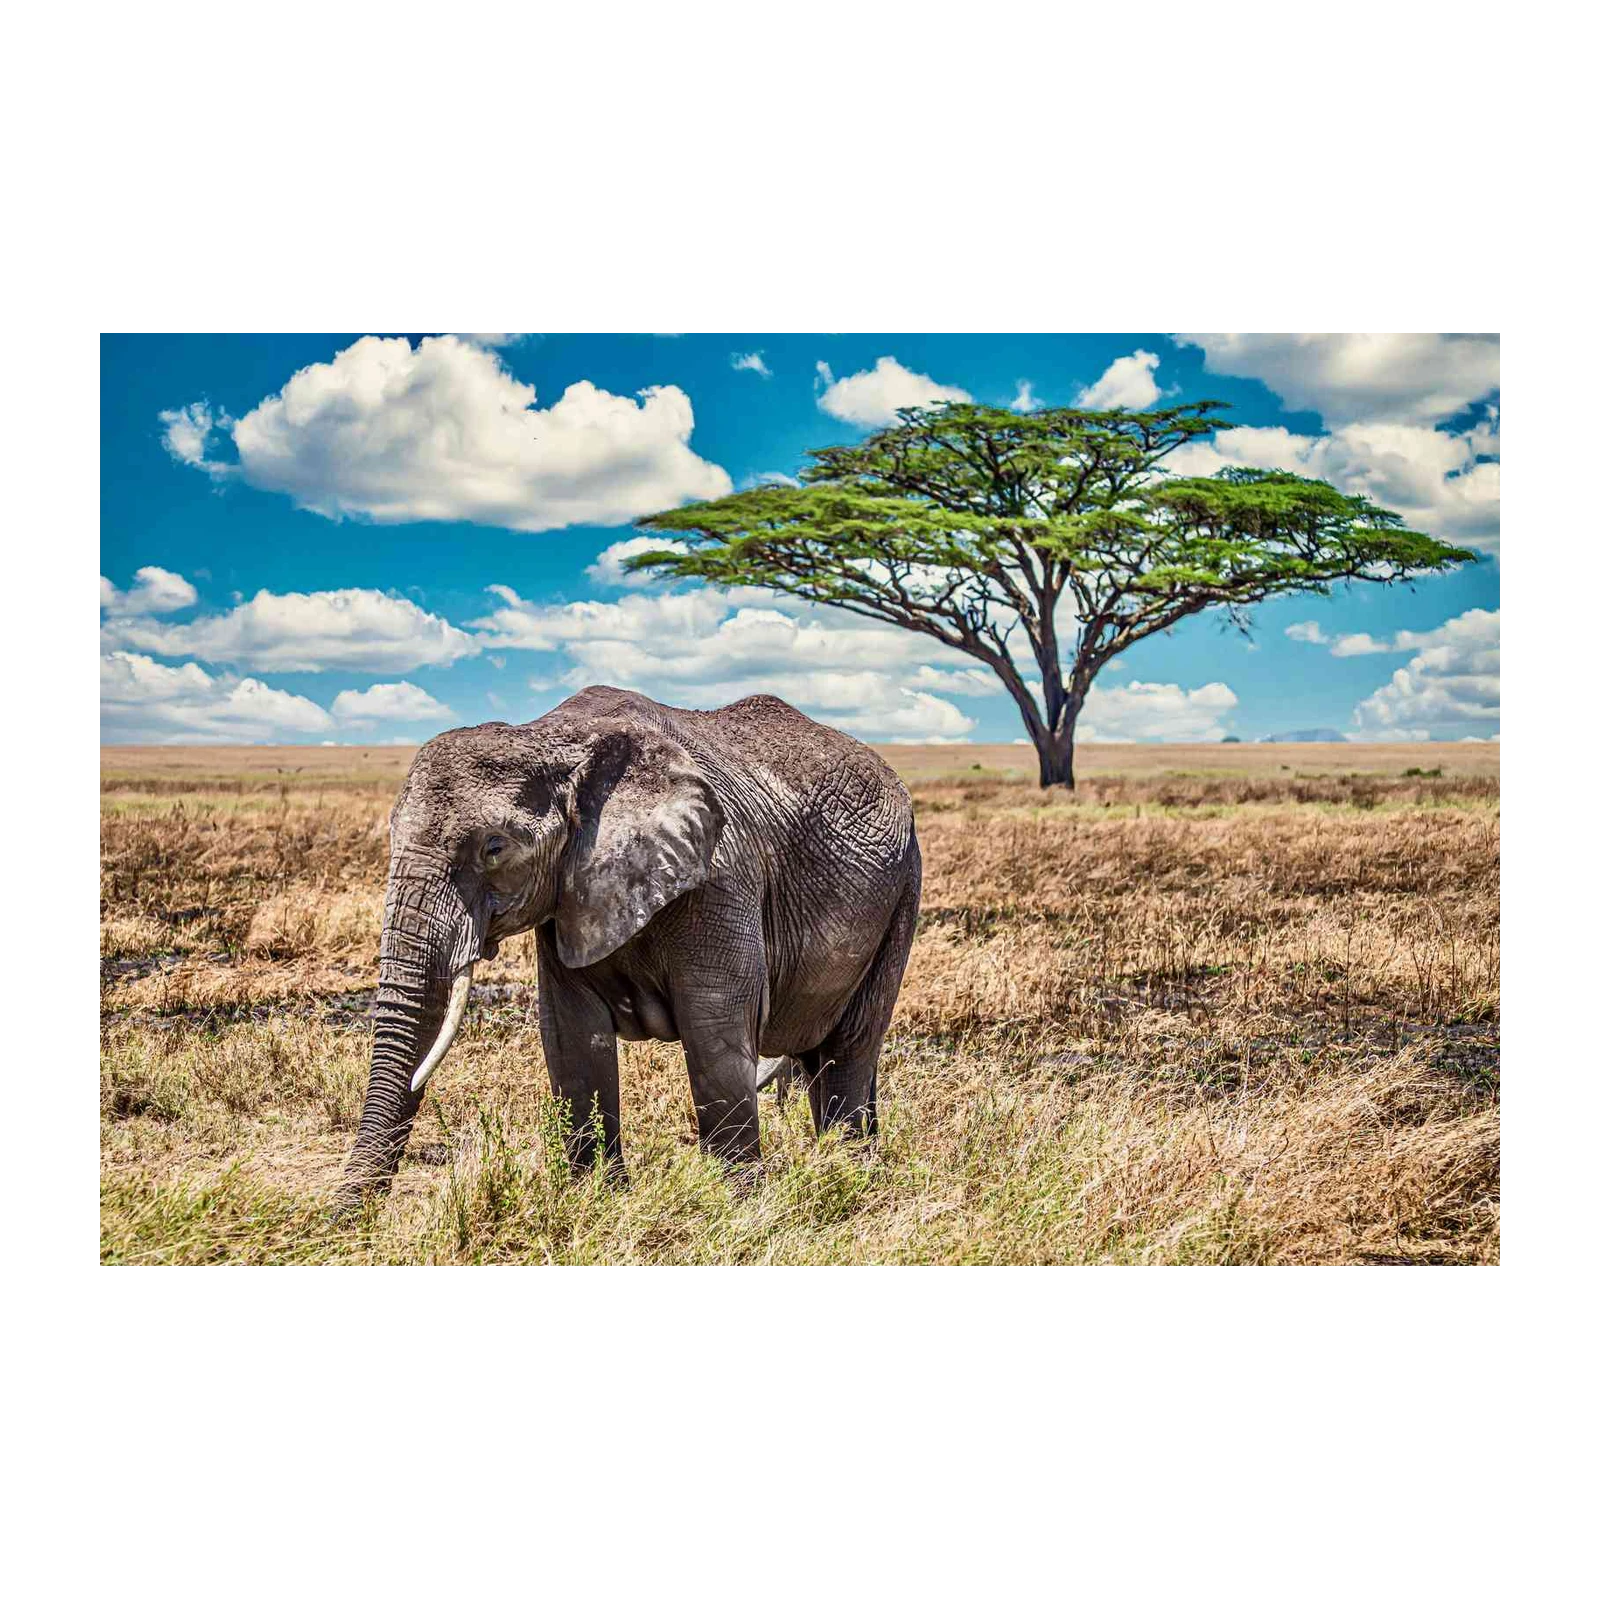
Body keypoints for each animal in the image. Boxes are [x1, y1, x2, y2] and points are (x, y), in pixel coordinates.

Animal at [338, 685, 922, 1205]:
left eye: (495, 848)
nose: (345, 1218)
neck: (553, 737)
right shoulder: (569, 897)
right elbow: (573, 1035)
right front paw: (598, 1200)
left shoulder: (721, 876)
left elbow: (715, 1029)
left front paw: (743, 1210)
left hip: (904, 892)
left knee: (849, 1047)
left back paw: (848, 1173)